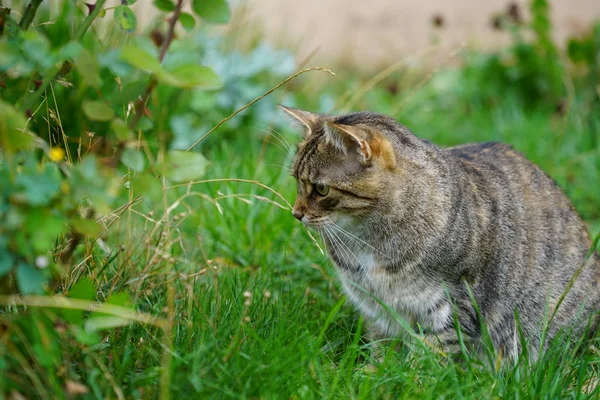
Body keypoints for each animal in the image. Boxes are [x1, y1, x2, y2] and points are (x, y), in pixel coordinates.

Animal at [280, 104, 600, 360]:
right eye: (296, 180)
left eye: (321, 189)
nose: (295, 213)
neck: (366, 241)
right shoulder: (377, 310)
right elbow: (382, 352)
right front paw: (374, 372)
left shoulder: (452, 309)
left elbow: (427, 362)